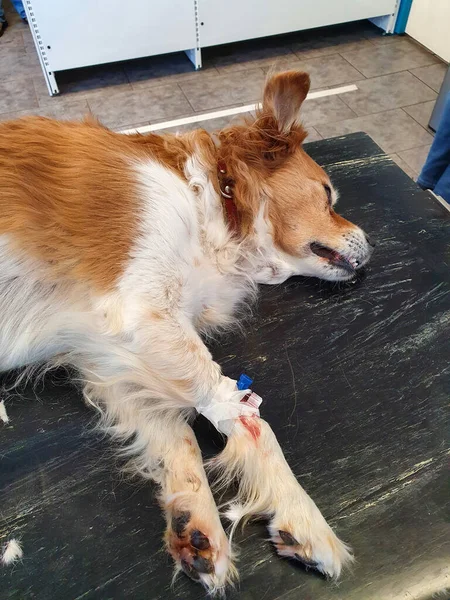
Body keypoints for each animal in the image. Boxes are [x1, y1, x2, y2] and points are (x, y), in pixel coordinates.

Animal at [0, 71, 372, 596]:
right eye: (325, 194)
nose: (372, 244)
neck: (214, 199)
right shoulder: (143, 311)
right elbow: (247, 415)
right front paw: (303, 512)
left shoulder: (107, 353)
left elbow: (178, 434)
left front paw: (195, 522)